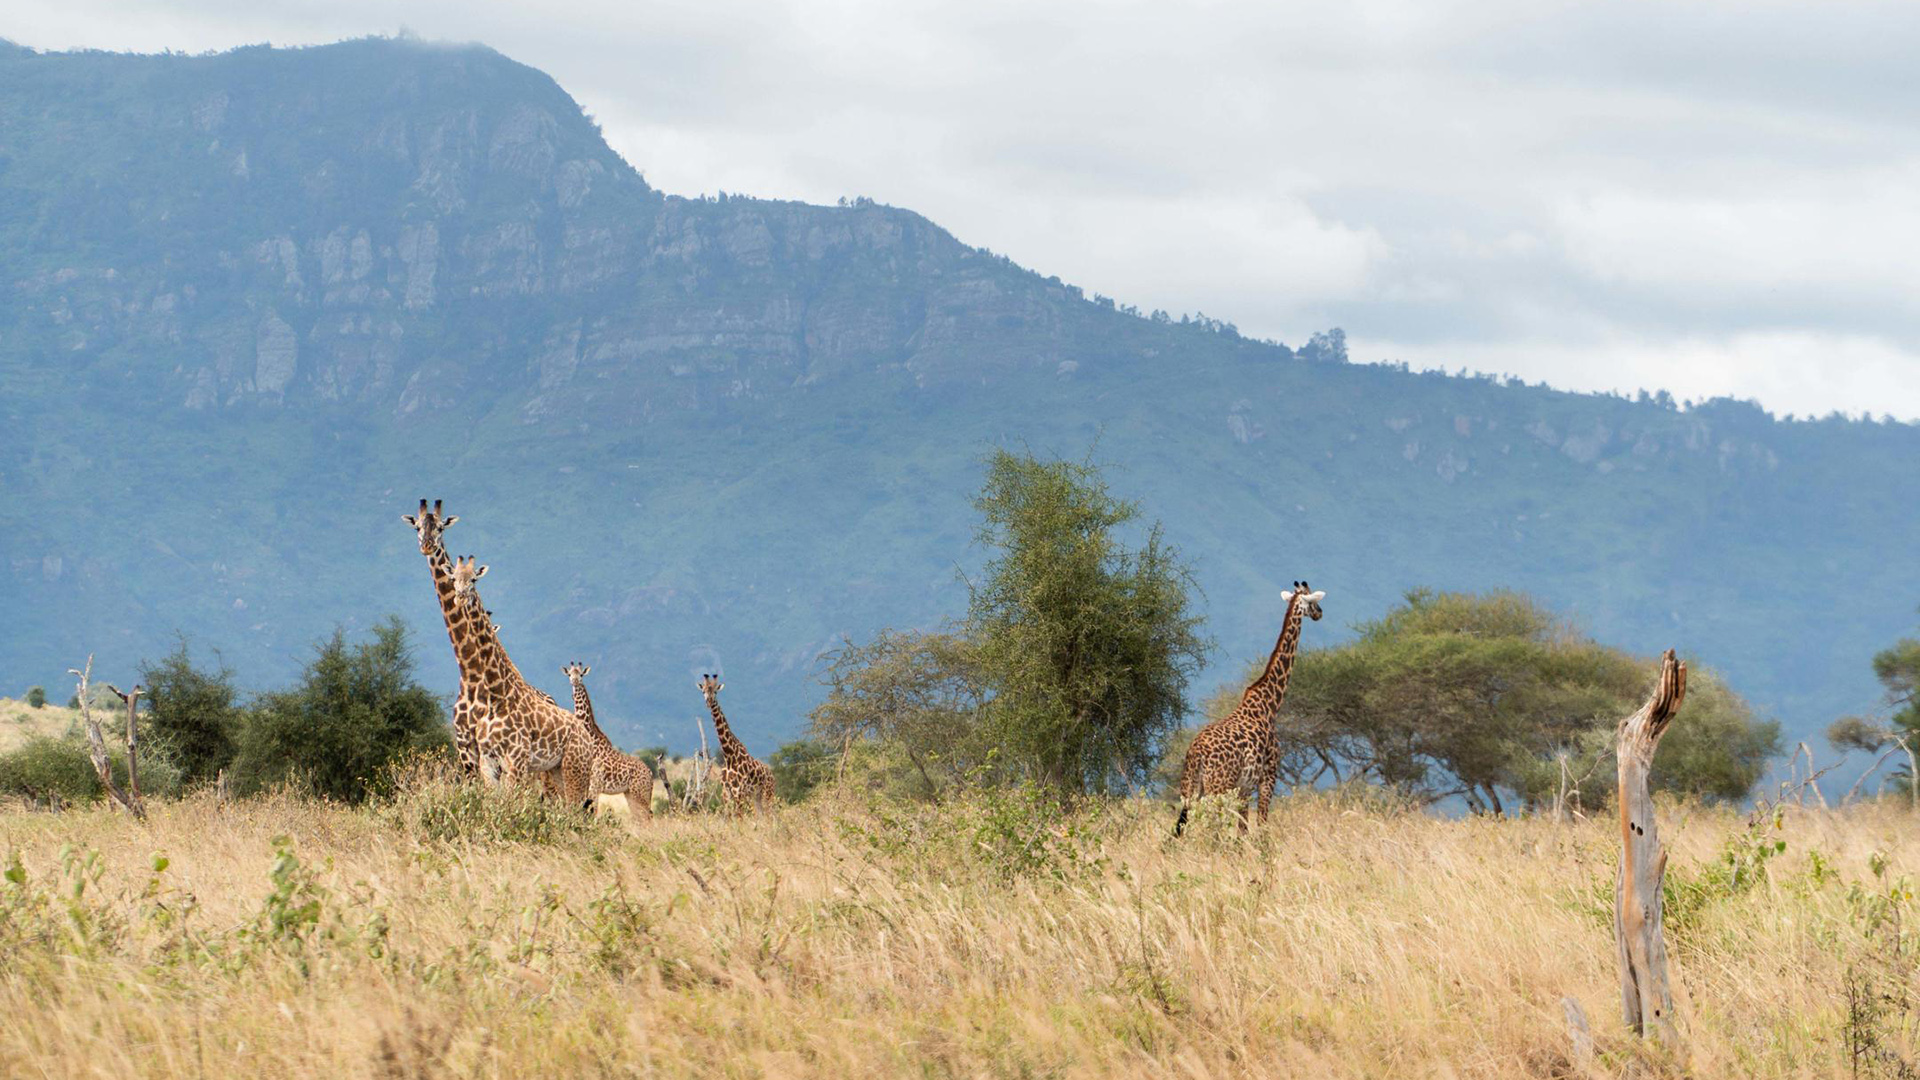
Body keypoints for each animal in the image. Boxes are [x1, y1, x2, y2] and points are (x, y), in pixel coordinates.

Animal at [447, 554, 593, 807]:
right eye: (453, 578)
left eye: (474, 579)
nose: (460, 596)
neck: (496, 694)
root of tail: (585, 733)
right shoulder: (487, 760)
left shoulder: (515, 760)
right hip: (556, 769)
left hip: (576, 768)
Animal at [561, 662, 658, 819]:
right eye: (569, 674)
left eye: (581, 674)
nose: (575, 681)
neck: (591, 739)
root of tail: (650, 773)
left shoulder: (595, 784)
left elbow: (593, 813)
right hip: (630, 793)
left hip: (640, 792)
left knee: (646, 817)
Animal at [696, 674, 774, 813]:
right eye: (703, 691)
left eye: (715, 692)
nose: (709, 702)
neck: (729, 755)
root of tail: (773, 776)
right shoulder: (726, 794)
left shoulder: (739, 793)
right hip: (757, 797)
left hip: (768, 794)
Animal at [1174, 581, 1326, 836]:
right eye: (1312, 601)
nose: (1320, 613)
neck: (1269, 704)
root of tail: (1196, 752)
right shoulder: (1268, 777)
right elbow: (1261, 826)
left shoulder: (1245, 787)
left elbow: (1242, 830)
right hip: (1218, 786)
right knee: (1211, 826)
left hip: (1191, 788)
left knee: (1183, 827)